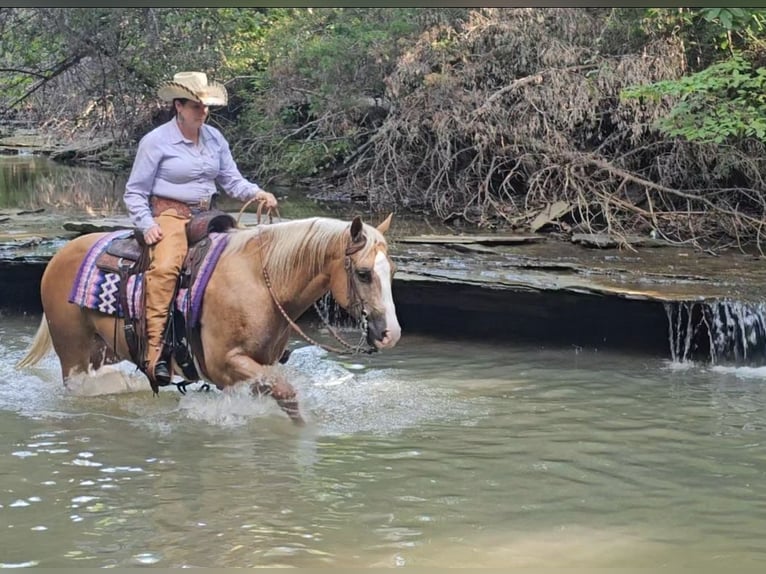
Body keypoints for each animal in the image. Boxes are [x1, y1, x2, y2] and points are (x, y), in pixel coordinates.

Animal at [16, 216, 402, 424]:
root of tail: (60, 255)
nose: (390, 334)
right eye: (364, 273)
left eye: (393, 271)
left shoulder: (253, 368)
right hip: (74, 352)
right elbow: (288, 393)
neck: (260, 281)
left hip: (101, 348)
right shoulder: (226, 363)